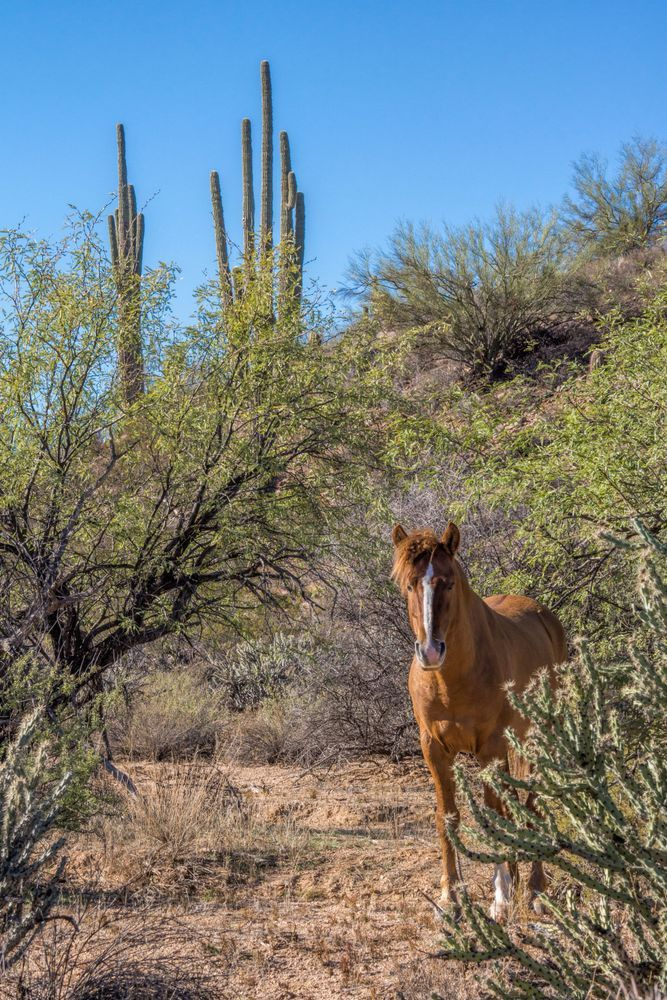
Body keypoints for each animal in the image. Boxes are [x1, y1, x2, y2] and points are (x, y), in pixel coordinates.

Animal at [391, 521, 567, 920]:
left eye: (448, 582)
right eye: (409, 584)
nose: (430, 651)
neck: (451, 680)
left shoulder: (489, 749)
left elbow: (492, 816)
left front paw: (500, 898)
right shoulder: (434, 751)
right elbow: (448, 817)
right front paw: (450, 897)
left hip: (540, 737)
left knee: (531, 803)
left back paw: (535, 889)